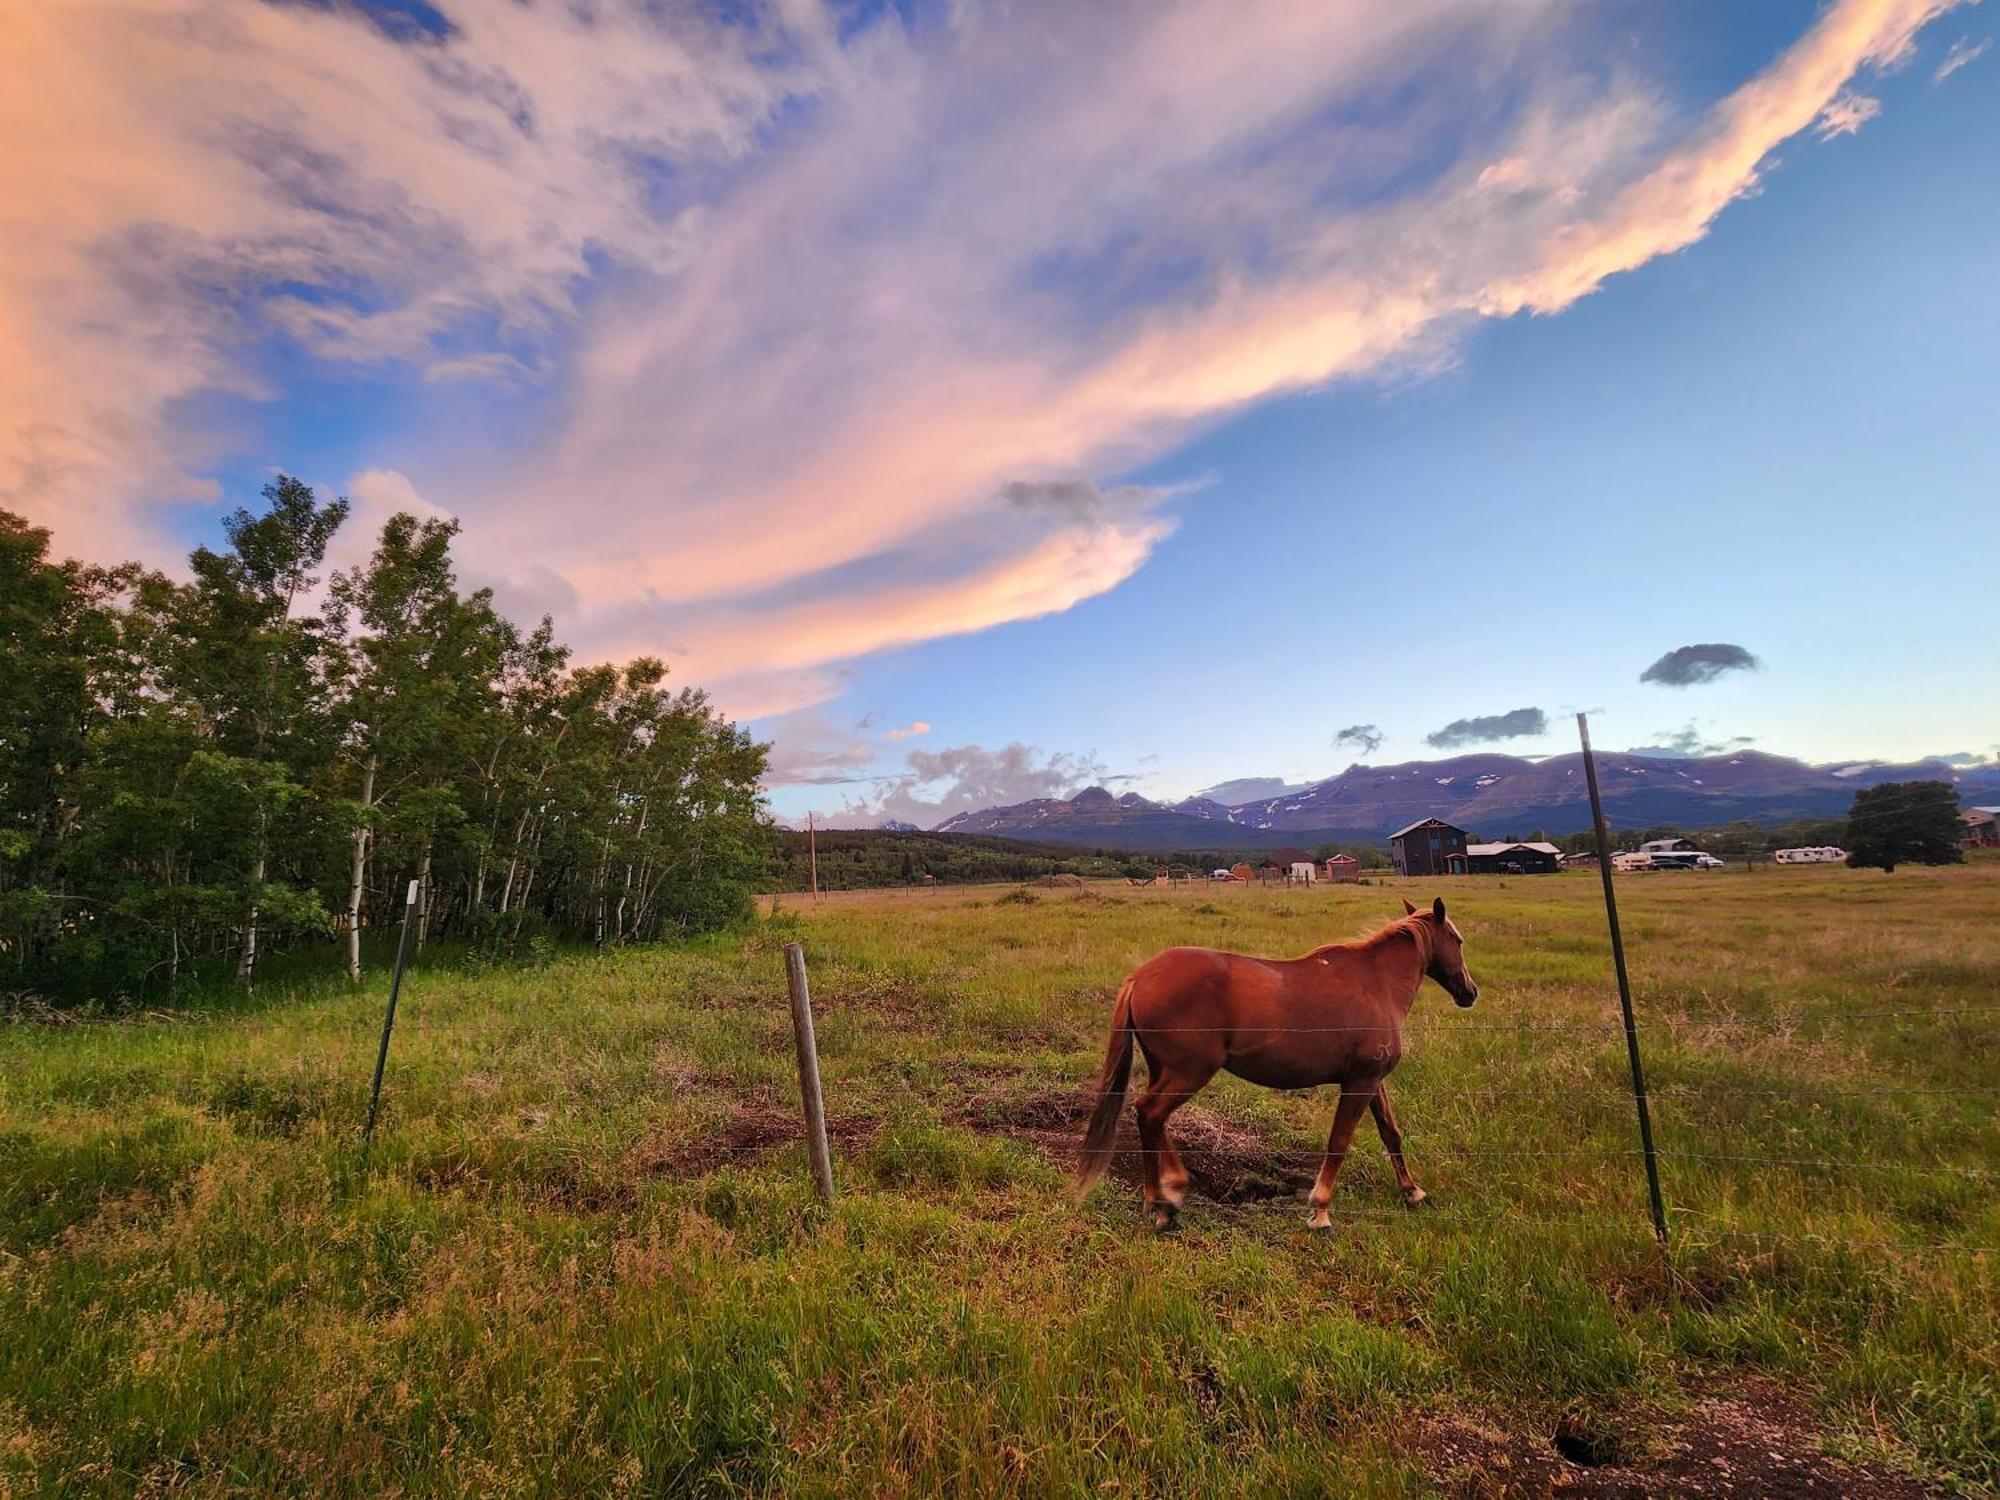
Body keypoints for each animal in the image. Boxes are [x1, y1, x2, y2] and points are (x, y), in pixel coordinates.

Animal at [1080, 892, 1472, 1232]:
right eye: (1458, 940)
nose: (1470, 992)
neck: (1378, 984)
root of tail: (1139, 977)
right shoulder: (1359, 1083)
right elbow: (1339, 1141)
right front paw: (1320, 1211)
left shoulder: (1373, 1081)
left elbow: (1390, 1132)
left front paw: (1412, 1191)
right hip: (1189, 1072)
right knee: (1150, 1113)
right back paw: (1161, 1202)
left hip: (1165, 1070)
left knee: (1153, 1118)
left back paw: (1167, 1192)